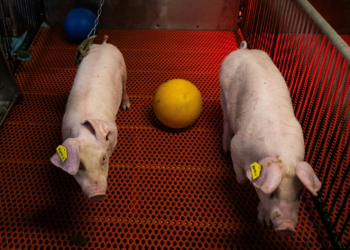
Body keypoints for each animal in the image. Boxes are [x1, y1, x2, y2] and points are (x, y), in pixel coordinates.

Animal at [50, 35, 131, 202]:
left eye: (104, 159)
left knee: (125, 86)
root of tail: (104, 44)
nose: (97, 195)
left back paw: (126, 107)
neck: (85, 132)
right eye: (80, 165)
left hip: (123, 67)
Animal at [220, 41, 322, 236]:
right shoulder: (238, 146)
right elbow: (240, 173)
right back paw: (224, 150)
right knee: (227, 121)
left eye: (299, 195)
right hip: (222, 92)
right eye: (272, 194)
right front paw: (241, 181)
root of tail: (243, 50)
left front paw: (264, 223)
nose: (287, 229)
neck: (283, 153)